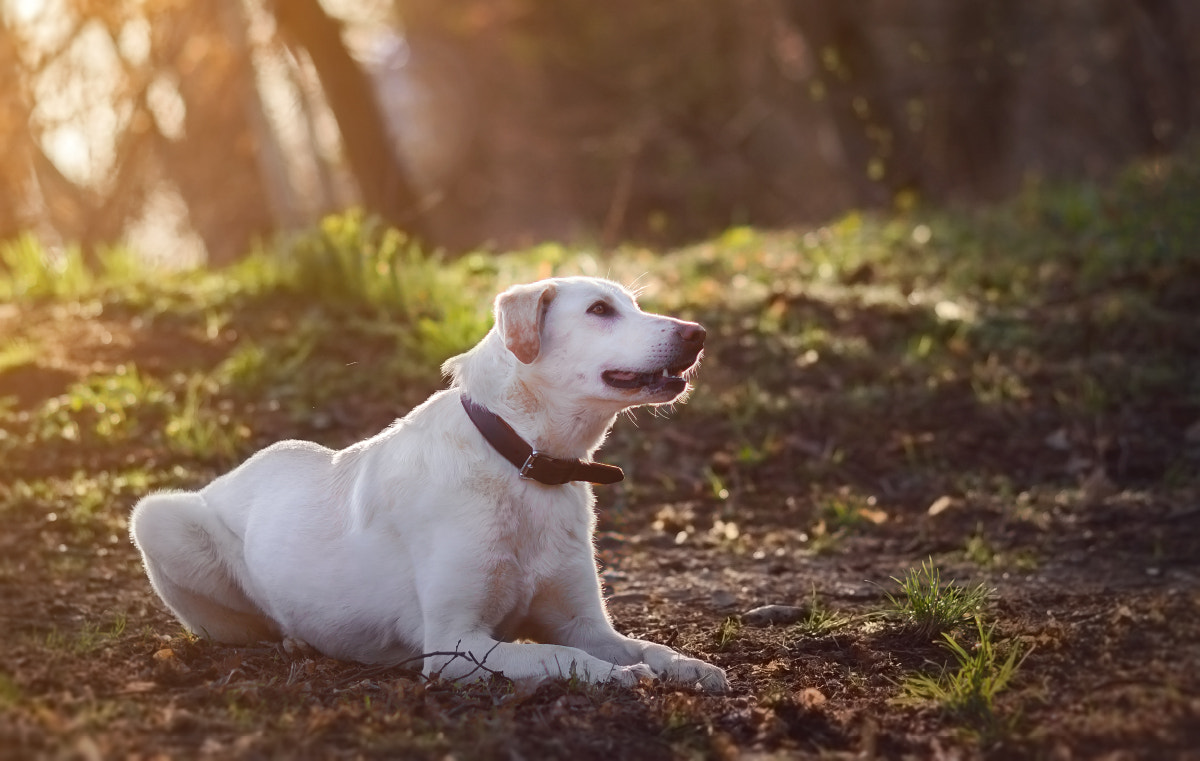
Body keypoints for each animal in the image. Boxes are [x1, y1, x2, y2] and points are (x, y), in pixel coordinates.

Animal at [132, 276, 729, 691]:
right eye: (600, 310)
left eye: (631, 304)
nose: (699, 333)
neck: (525, 459)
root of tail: (231, 476)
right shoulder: (453, 642)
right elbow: (555, 655)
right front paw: (611, 677)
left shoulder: (585, 623)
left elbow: (644, 647)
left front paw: (688, 666)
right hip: (156, 518)